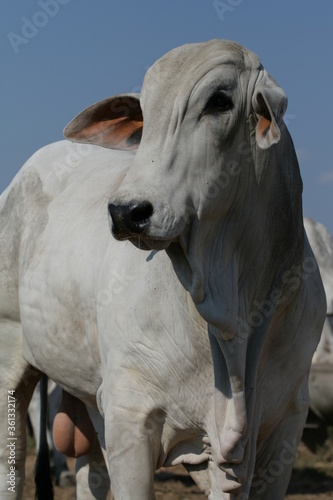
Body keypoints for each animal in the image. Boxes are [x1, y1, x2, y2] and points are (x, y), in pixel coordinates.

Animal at [0, 40, 324, 500]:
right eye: (145, 111)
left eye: (220, 101)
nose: (126, 211)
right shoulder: (130, 412)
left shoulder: (285, 427)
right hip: (11, 353)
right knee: (11, 455)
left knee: (89, 472)